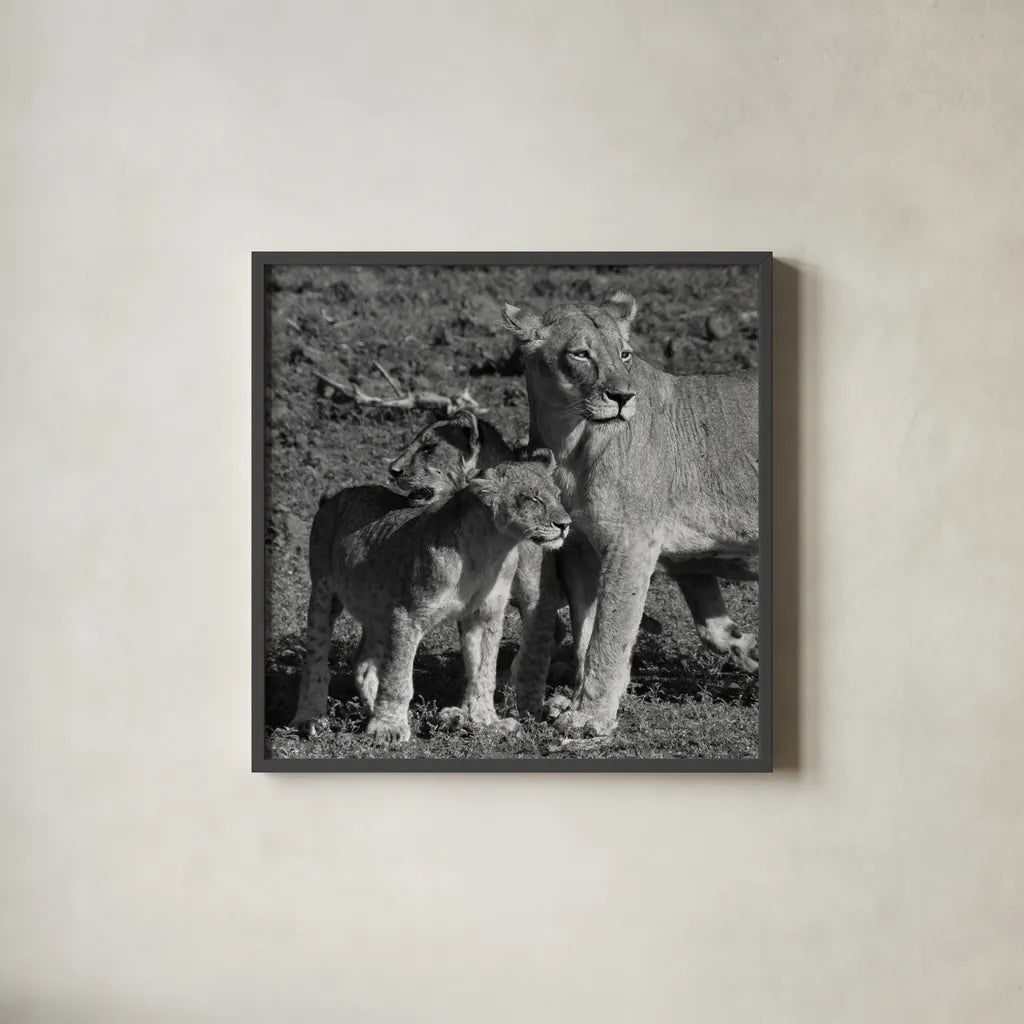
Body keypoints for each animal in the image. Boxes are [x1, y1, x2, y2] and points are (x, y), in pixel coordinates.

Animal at [291, 453, 571, 742]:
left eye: (558, 495)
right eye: (532, 499)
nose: (565, 525)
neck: (493, 548)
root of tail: (337, 495)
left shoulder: (485, 615)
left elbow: (484, 674)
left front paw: (487, 721)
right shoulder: (408, 614)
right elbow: (398, 677)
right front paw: (388, 727)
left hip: (380, 610)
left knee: (363, 666)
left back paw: (373, 712)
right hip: (324, 593)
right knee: (315, 661)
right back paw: (309, 719)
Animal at [501, 291, 759, 736]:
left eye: (625, 354)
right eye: (581, 354)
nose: (623, 398)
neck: (570, 442)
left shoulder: (631, 542)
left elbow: (610, 629)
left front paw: (589, 717)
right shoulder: (579, 549)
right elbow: (587, 630)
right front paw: (575, 701)